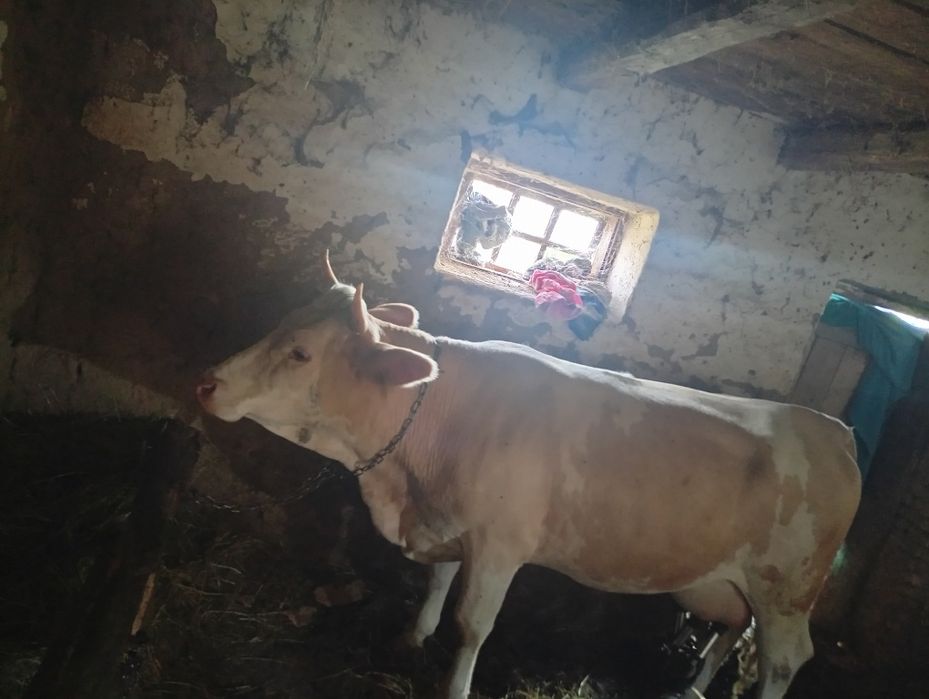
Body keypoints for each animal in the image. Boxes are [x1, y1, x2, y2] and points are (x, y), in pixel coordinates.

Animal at [196, 254, 861, 699]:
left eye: (301, 353)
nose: (206, 383)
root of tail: (834, 430)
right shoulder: (446, 523)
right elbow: (436, 584)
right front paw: (412, 639)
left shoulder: (499, 544)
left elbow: (472, 626)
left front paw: (453, 686)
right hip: (738, 583)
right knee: (734, 633)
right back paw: (694, 686)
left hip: (787, 588)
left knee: (782, 660)